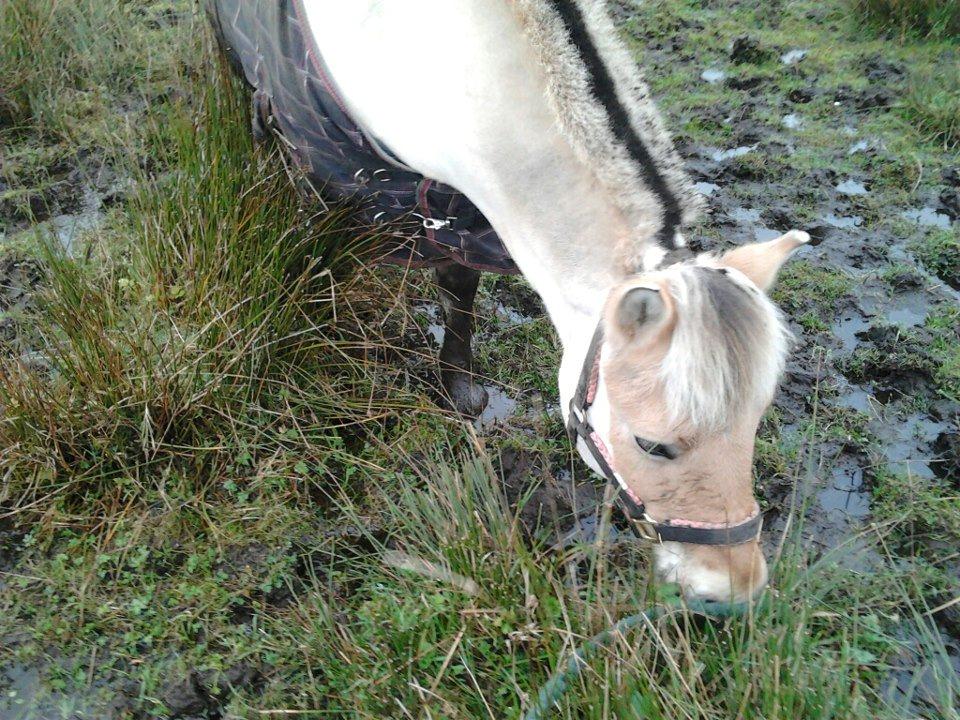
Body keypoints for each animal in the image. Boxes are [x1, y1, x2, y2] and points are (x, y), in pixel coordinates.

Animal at [208, 0, 811, 604]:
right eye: (652, 445)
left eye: (756, 422)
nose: (733, 586)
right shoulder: (317, 167)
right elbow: (318, 264)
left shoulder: (460, 207)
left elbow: (459, 286)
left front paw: (457, 384)